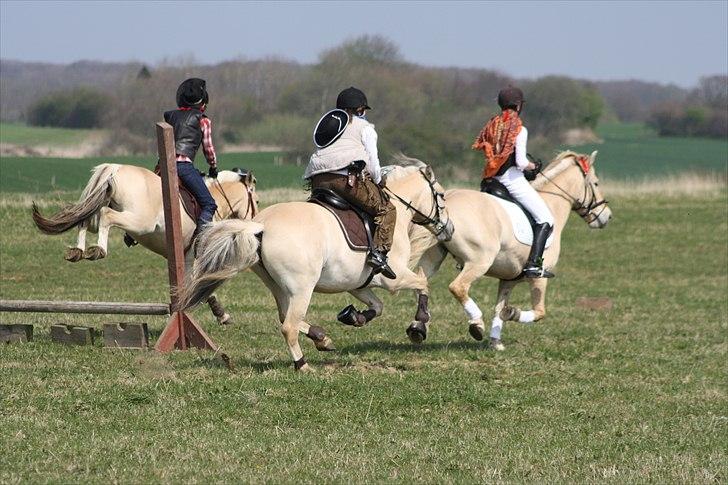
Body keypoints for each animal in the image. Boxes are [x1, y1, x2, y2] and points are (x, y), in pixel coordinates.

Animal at [31, 164, 258, 326]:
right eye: (255, 199)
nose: (254, 221)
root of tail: (114, 168)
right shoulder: (192, 258)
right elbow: (202, 284)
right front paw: (220, 315)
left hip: (103, 209)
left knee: (84, 219)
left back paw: (78, 251)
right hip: (138, 221)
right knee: (106, 216)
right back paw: (98, 250)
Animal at [179, 160, 452, 370]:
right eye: (440, 196)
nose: (448, 229)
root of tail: (260, 226)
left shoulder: (359, 285)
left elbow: (378, 306)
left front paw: (354, 316)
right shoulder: (394, 279)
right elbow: (423, 283)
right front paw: (419, 326)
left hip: (279, 287)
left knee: (285, 317)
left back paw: (322, 338)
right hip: (302, 288)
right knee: (288, 326)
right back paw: (303, 364)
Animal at [406, 150, 612, 348]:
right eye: (596, 183)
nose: (607, 216)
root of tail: (446, 204)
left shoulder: (508, 280)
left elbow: (498, 308)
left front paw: (496, 342)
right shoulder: (539, 278)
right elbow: (539, 312)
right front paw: (511, 313)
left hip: (434, 257)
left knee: (421, 283)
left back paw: (419, 327)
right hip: (479, 261)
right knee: (458, 287)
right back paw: (476, 323)